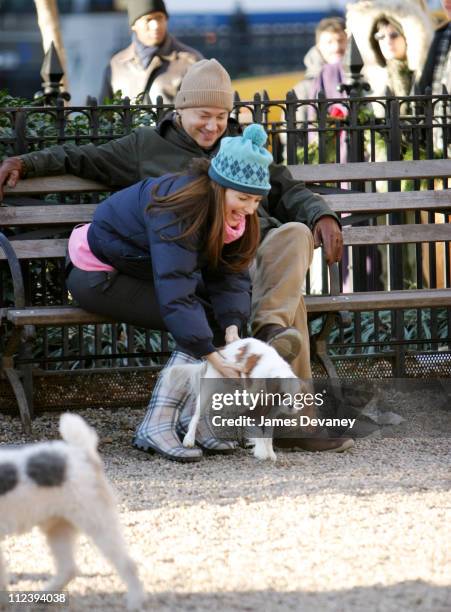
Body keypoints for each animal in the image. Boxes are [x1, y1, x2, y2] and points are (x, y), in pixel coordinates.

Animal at [0, 414, 145, 608]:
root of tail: (82, 452)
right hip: (58, 527)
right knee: (69, 568)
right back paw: (46, 595)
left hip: (97, 524)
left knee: (128, 564)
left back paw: (135, 602)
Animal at [164, 338, 306, 462]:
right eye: (282, 394)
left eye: (297, 395)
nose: (291, 406)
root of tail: (221, 349)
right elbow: (258, 429)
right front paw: (261, 452)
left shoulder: (270, 412)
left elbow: (268, 435)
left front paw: (270, 453)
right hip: (209, 389)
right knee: (197, 414)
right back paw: (189, 439)